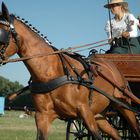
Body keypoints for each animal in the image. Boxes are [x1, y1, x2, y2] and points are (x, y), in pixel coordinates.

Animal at [0, 2, 140, 140]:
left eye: (2, 33)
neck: (50, 74)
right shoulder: (42, 117)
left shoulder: (85, 111)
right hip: (99, 115)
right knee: (116, 134)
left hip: (123, 106)